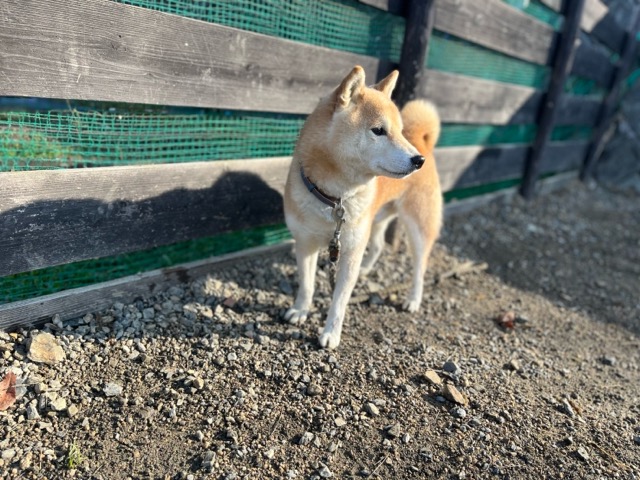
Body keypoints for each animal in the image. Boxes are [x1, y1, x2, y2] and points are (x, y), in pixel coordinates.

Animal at [283, 65, 442, 349]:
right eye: (378, 130)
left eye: (399, 131)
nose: (417, 160)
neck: (334, 199)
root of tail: (424, 143)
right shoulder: (304, 244)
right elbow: (307, 285)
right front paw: (300, 310)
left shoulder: (350, 253)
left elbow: (339, 300)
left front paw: (330, 333)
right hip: (375, 219)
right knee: (378, 245)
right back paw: (368, 269)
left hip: (418, 228)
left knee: (420, 267)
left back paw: (413, 299)